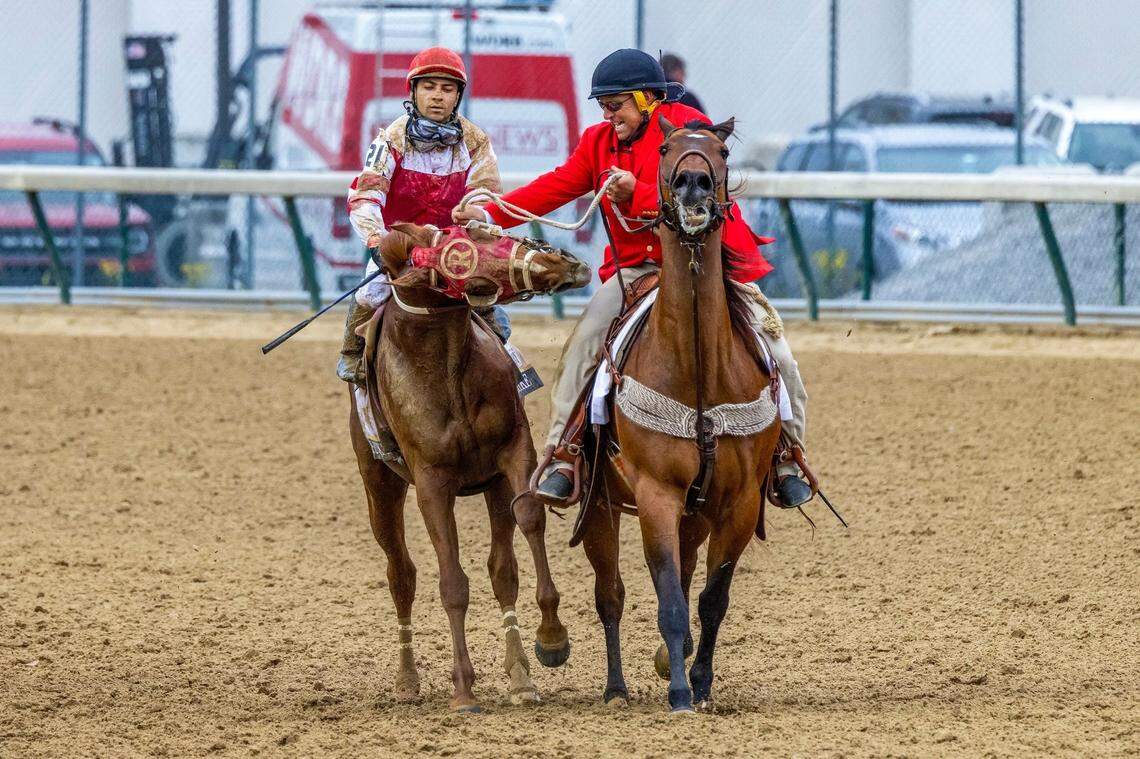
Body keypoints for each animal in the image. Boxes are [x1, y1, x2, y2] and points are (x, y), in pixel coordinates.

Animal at [349, 223, 590, 711]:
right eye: (459, 256)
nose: (561, 260)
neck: (446, 372)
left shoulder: (513, 454)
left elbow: (527, 523)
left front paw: (550, 639)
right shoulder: (431, 482)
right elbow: (452, 584)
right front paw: (463, 688)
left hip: (492, 486)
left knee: (501, 570)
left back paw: (520, 674)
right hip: (379, 486)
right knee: (401, 574)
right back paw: (407, 679)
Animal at [577, 116, 782, 713]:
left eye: (720, 150)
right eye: (668, 148)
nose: (694, 182)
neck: (697, 374)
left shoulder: (738, 503)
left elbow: (712, 598)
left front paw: (703, 682)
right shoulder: (656, 494)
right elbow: (667, 594)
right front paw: (679, 692)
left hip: (697, 513)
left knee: (689, 577)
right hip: (599, 506)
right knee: (610, 594)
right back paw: (616, 687)